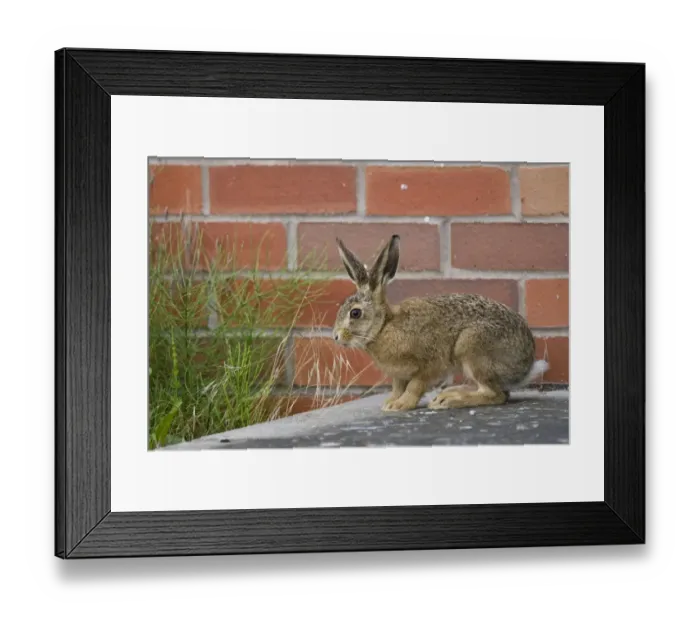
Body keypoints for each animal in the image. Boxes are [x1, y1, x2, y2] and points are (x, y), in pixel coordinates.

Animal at [332, 234, 550, 412]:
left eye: (355, 313)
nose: (335, 336)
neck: (384, 326)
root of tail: (525, 368)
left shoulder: (430, 364)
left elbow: (415, 386)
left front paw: (400, 405)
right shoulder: (398, 375)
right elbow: (397, 388)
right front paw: (390, 403)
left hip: (472, 346)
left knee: (496, 394)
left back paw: (449, 400)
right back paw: (451, 392)